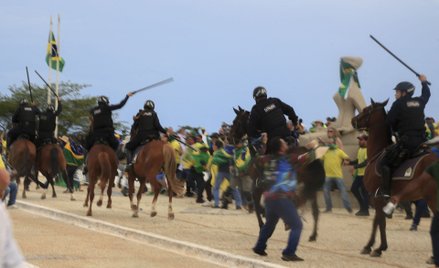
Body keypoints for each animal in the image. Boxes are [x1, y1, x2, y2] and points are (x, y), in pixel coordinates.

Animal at [229, 107, 324, 243]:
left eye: (236, 121)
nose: (230, 138)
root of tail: (310, 156)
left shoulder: (257, 186)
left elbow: (258, 206)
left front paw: (262, 225)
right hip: (310, 187)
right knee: (314, 211)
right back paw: (312, 235)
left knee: (299, 203)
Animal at [352, 100, 438, 258]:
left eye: (366, 110)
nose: (353, 120)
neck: (377, 154)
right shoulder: (378, 198)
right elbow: (378, 221)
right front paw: (373, 246)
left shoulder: (376, 196)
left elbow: (380, 222)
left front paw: (377, 247)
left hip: (431, 197)